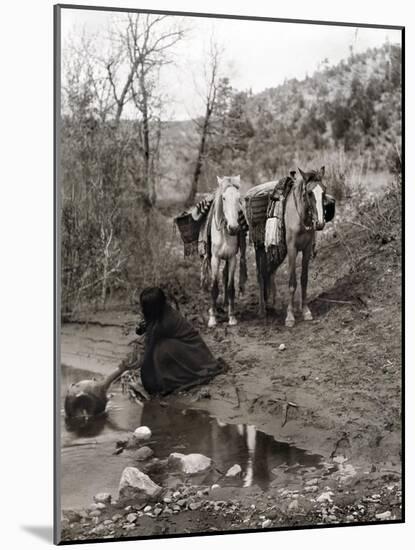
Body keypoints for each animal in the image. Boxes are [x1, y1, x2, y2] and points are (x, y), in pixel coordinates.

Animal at [256, 166, 328, 326]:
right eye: (309, 193)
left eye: (324, 191)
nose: (320, 223)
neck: (300, 218)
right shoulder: (292, 249)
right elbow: (292, 282)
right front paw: (290, 316)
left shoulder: (306, 249)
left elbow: (304, 279)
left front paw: (306, 311)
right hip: (261, 249)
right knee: (261, 274)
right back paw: (263, 309)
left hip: (279, 252)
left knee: (271, 272)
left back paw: (273, 304)